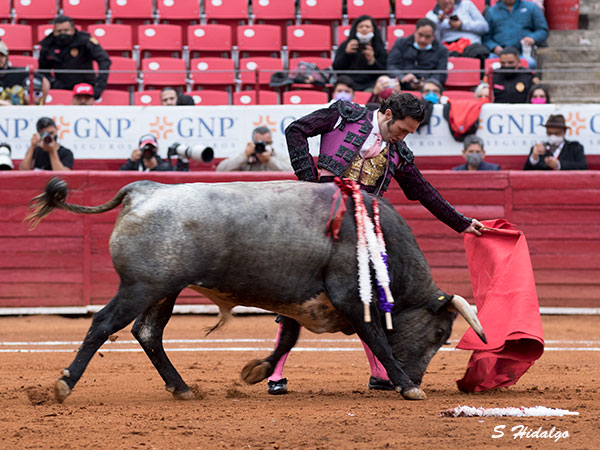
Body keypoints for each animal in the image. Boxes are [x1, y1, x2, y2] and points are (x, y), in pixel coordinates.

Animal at [28, 178, 488, 402]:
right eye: (440, 334)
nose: (415, 375)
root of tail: (143, 190)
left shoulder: (305, 299)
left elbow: (288, 337)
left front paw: (258, 371)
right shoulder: (350, 296)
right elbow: (375, 336)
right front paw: (408, 387)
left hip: (163, 290)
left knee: (148, 333)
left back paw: (182, 388)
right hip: (142, 286)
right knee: (104, 323)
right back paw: (64, 384)